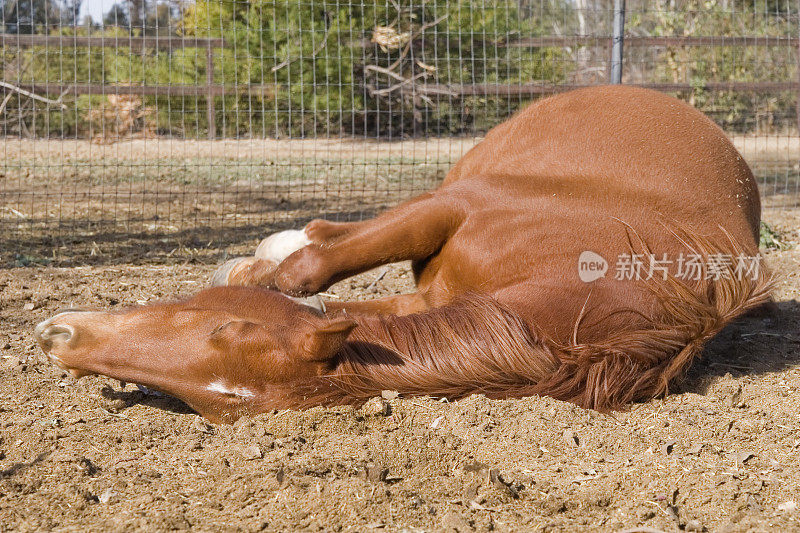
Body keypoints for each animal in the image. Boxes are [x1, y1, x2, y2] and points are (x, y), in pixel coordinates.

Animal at [36, 85, 768, 422]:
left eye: (219, 329)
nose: (60, 336)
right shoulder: (448, 208)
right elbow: (315, 268)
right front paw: (262, 267)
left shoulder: (427, 296)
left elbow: (322, 287)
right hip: (446, 188)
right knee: (327, 235)